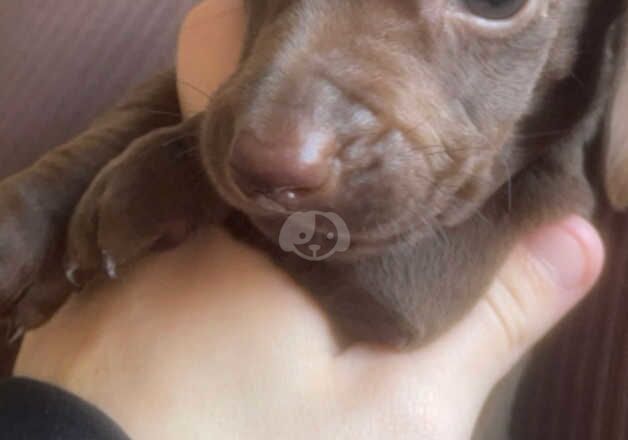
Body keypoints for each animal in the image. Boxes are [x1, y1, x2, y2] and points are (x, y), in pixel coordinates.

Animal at [0, 0, 624, 348]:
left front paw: (145, 186)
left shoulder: (412, 281)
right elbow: (138, 110)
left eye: (495, 2)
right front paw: (22, 221)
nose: (262, 167)